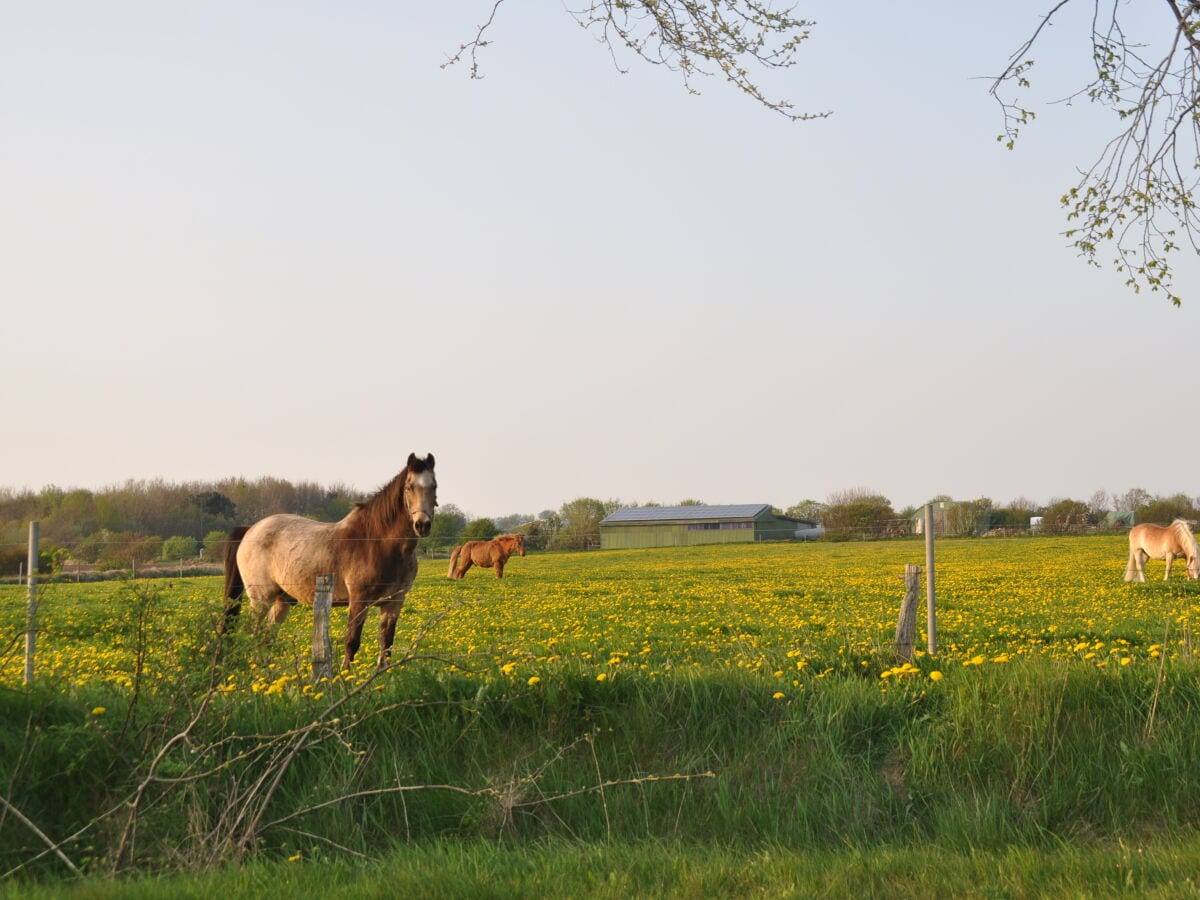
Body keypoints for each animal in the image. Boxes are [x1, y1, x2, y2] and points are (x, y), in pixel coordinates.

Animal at [222, 451, 436, 672]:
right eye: (409, 487)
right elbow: (352, 641)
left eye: (434, 486)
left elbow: (386, 643)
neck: (378, 542)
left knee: (267, 635)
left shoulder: (394, 602)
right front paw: (346, 676)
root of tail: (250, 529)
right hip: (261, 599)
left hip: (283, 599)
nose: (422, 524)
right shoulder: (359, 600)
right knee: (251, 633)